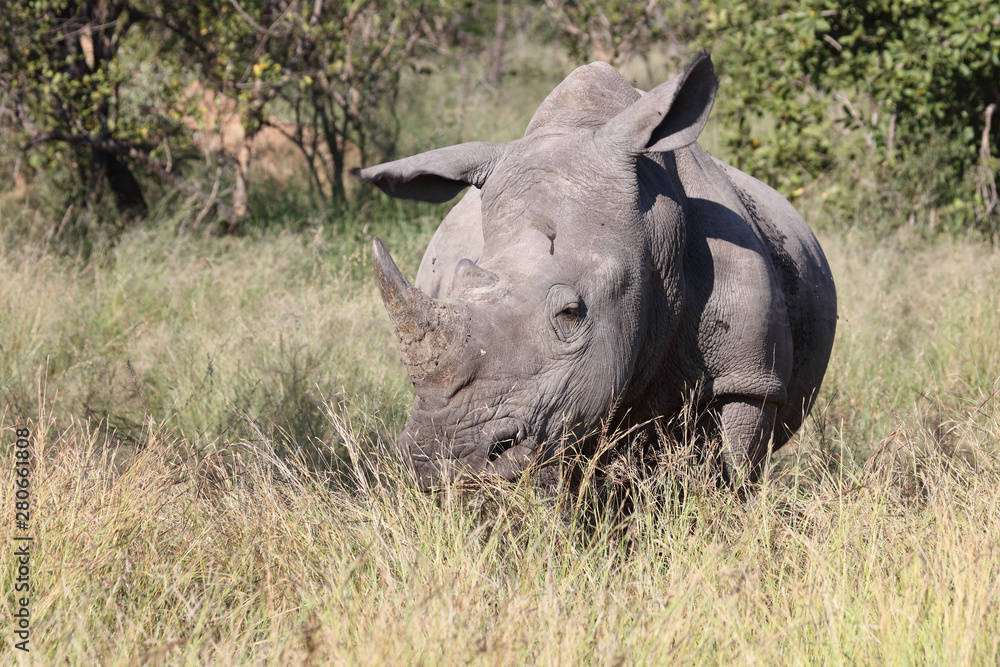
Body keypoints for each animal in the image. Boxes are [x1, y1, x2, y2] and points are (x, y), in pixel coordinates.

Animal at [355, 53, 837, 489]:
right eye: (457, 279)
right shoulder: (560, 405)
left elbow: (727, 475)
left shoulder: (750, 377)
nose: (439, 460)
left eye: (572, 314)